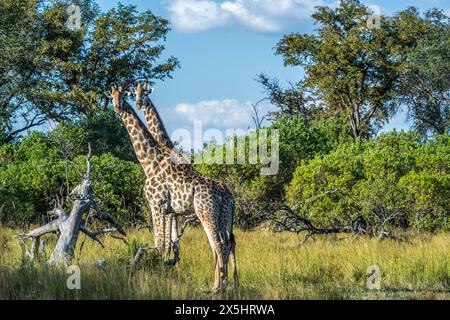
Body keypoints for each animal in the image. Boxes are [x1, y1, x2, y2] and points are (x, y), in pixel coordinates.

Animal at [107, 84, 234, 290]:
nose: (118, 107)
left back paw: (217, 286)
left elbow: (161, 242)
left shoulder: (157, 205)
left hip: (206, 214)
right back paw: (226, 284)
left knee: (218, 243)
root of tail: (228, 195)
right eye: (112, 96)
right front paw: (169, 266)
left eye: (123, 96)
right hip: (223, 216)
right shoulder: (170, 210)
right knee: (227, 243)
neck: (150, 161)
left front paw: (161, 271)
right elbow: (169, 242)